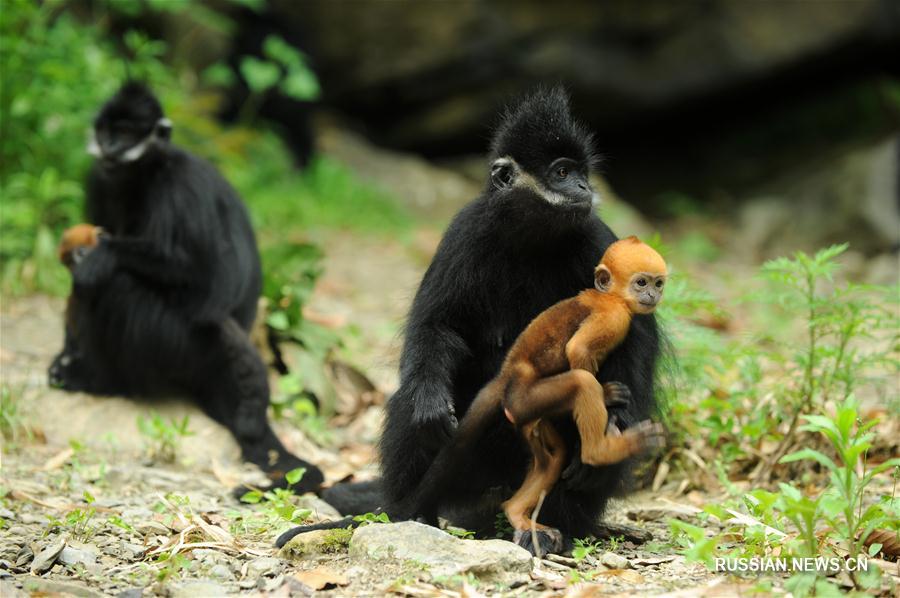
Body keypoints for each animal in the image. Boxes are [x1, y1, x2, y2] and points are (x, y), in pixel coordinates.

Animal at [400, 237, 668, 556]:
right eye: (641, 282)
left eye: (658, 283)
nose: (652, 294)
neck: (611, 297)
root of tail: (508, 374)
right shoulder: (611, 318)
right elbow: (578, 350)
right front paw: (606, 395)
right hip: (528, 396)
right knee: (581, 383)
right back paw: (600, 450)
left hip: (531, 416)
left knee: (552, 458)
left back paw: (518, 512)